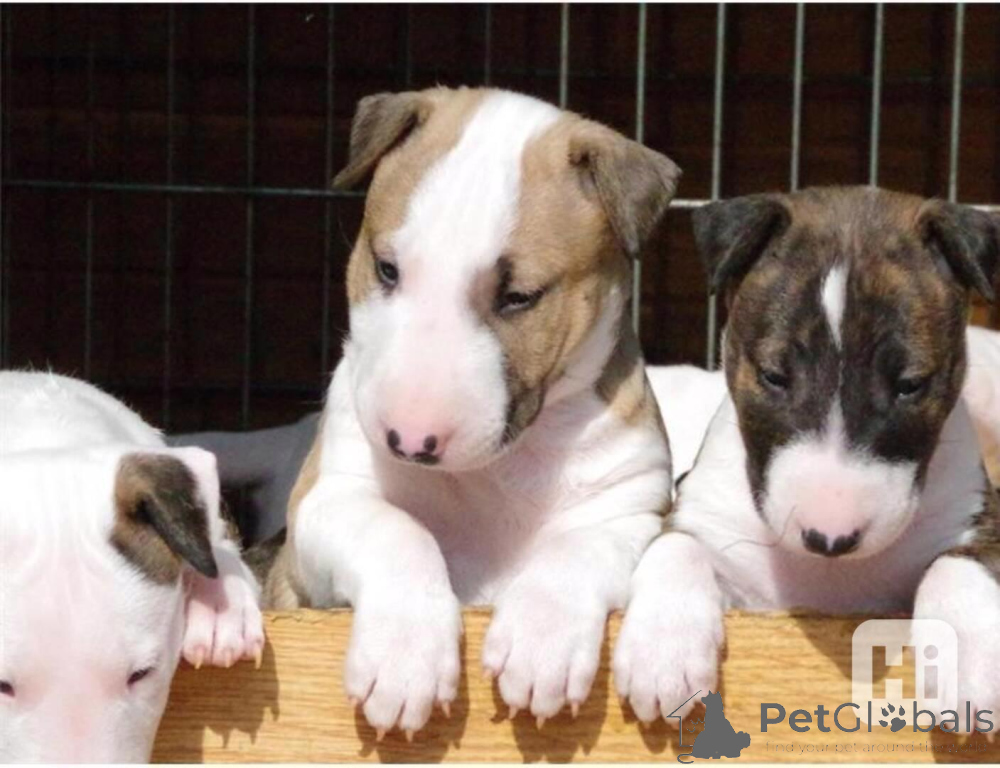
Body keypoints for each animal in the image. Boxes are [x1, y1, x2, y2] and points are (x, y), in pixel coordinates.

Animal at [265, 86, 681, 737]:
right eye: (387, 269)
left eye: (518, 298)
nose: (409, 441)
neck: (499, 471)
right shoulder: (325, 503)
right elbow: (397, 530)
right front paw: (403, 660)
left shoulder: (628, 510)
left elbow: (573, 549)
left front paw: (541, 644)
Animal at [614, 187, 1000, 727]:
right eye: (774, 375)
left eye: (910, 384)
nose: (829, 538)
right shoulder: (706, 521)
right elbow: (675, 544)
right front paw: (663, 652)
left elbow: (960, 560)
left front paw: (968, 661)